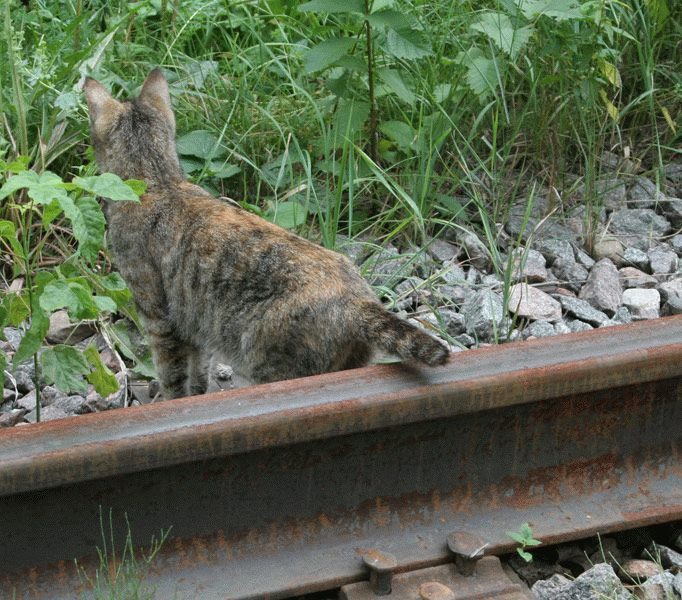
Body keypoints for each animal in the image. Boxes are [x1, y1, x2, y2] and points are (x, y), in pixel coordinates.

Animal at [82, 69, 448, 398]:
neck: (158, 181)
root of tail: (358, 299)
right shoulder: (195, 327)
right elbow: (197, 374)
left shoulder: (160, 319)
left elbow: (173, 378)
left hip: (271, 364)